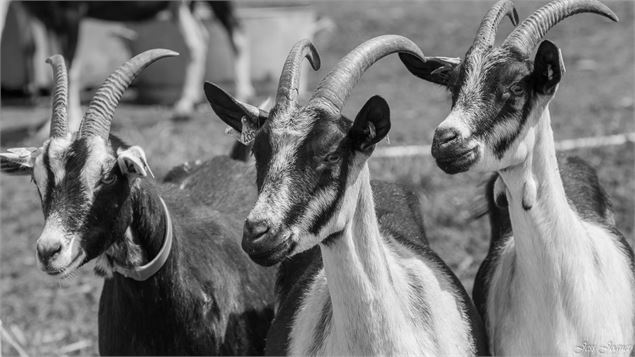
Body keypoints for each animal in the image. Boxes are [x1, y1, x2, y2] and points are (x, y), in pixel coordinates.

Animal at [1, 0, 256, 134]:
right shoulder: (48, 17)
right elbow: (58, 63)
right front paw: (47, 127)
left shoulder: (70, 12)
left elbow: (72, 67)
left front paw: (70, 122)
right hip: (180, 5)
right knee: (197, 40)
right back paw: (184, 105)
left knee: (236, 32)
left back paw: (243, 94)